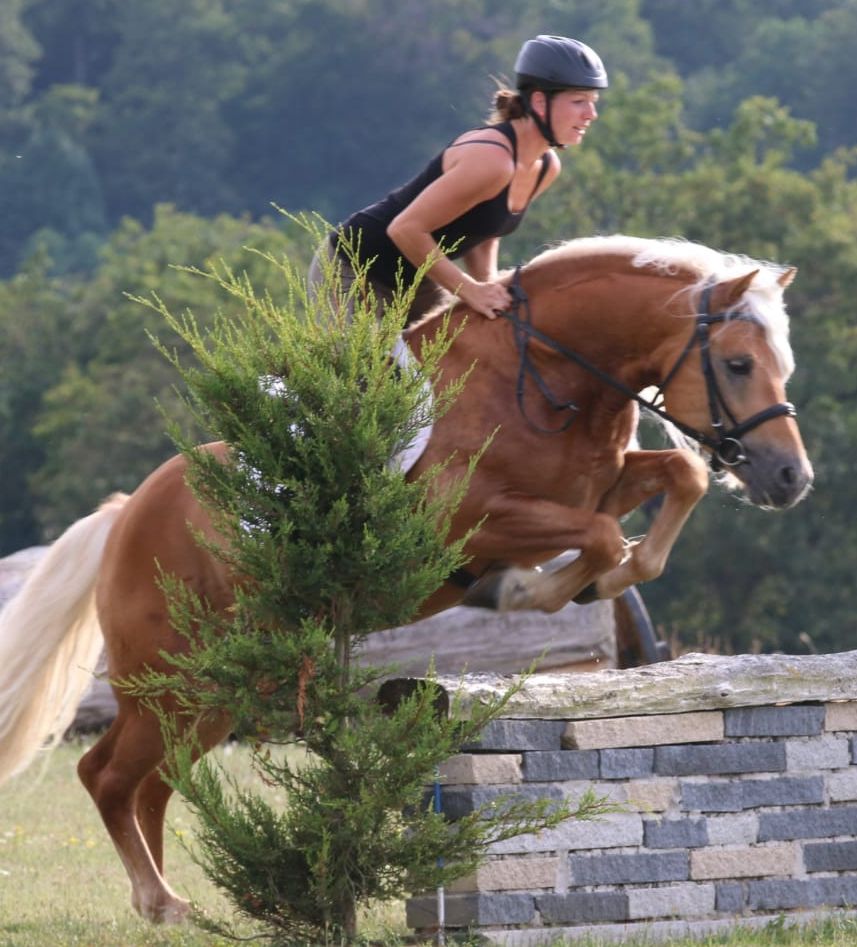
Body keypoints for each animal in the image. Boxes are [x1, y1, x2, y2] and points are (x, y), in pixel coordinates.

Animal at [0, 233, 808, 924]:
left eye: (783, 365)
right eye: (737, 364)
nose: (790, 478)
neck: (546, 376)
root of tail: (124, 513)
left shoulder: (596, 486)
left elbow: (677, 479)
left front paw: (591, 581)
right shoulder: (474, 520)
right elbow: (606, 536)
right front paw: (536, 589)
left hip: (218, 688)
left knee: (156, 782)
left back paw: (168, 902)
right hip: (174, 676)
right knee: (106, 774)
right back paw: (161, 901)